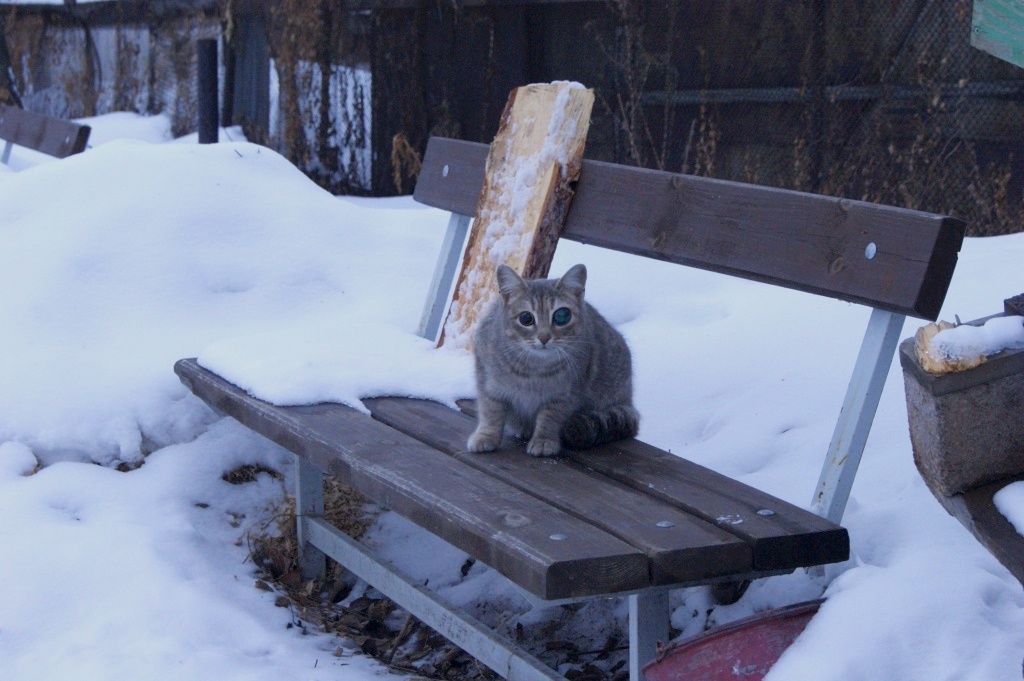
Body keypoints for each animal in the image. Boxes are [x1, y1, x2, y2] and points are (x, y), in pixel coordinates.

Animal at [466, 261, 638, 456]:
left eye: (562, 315)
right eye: (526, 318)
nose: (544, 337)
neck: (533, 369)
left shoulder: (563, 396)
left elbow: (549, 419)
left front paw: (543, 440)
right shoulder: (487, 384)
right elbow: (490, 413)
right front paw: (486, 436)